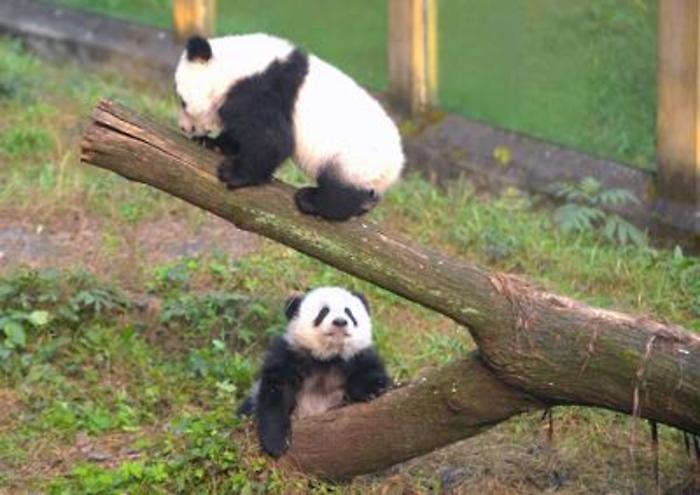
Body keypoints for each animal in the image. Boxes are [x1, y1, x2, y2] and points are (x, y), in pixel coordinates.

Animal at [174, 34, 404, 221]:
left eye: (183, 102)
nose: (184, 128)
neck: (234, 68)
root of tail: (395, 169)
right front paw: (212, 144)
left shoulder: (262, 89)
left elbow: (273, 140)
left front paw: (234, 173)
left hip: (355, 160)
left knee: (341, 189)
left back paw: (313, 201)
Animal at [238, 287, 392, 458]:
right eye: (323, 311)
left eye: (349, 312)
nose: (340, 322)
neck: (328, 358)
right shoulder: (290, 355)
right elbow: (275, 394)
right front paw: (276, 442)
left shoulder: (358, 357)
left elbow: (370, 372)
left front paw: (375, 389)